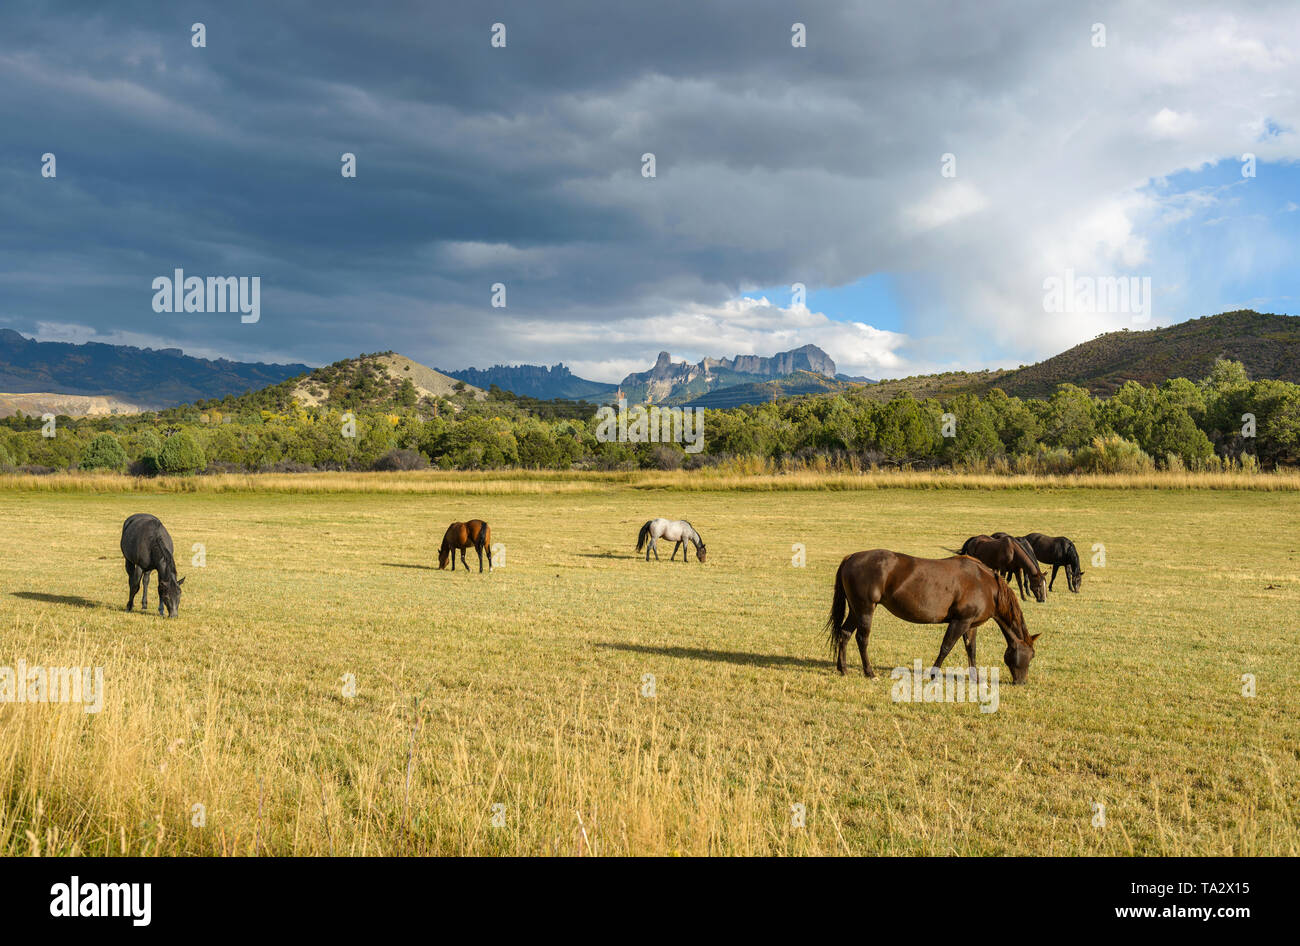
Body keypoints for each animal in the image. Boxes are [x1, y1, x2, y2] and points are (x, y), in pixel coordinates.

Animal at [826, 550, 1040, 686]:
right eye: (1030, 655)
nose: (1022, 682)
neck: (985, 584)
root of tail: (851, 557)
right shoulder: (960, 622)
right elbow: (946, 647)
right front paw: (933, 674)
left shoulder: (971, 624)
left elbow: (971, 649)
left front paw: (976, 677)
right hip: (865, 609)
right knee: (862, 639)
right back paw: (870, 673)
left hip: (855, 610)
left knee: (844, 634)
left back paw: (843, 669)